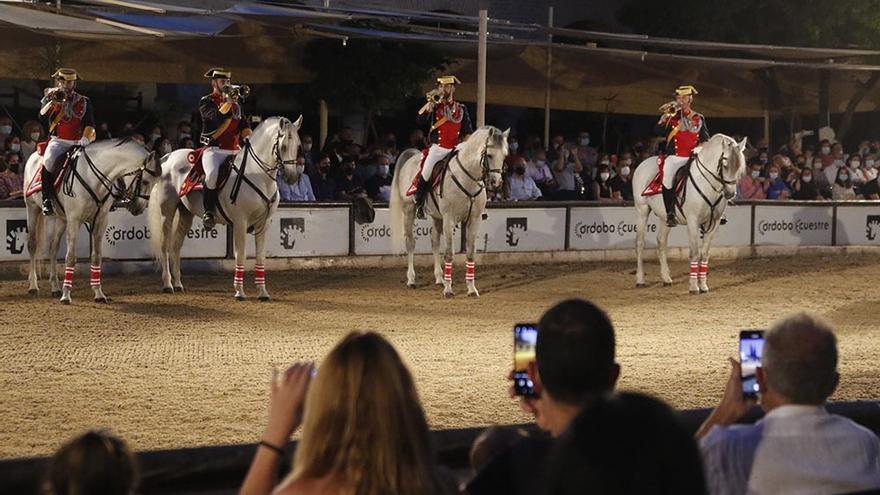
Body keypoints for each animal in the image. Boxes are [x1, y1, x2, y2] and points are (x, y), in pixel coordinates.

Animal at [24, 138, 161, 304]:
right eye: (146, 182)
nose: (139, 208)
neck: (93, 177)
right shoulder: (74, 220)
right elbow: (71, 257)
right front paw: (66, 295)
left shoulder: (100, 221)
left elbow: (96, 257)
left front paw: (98, 293)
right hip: (32, 208)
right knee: (32, 244)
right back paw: (33, 286)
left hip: (62, 219)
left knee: (53, 248)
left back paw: (55, 287)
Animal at [148, 116, 302, 302]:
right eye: (284, 146)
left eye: (298, 146)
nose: (292, 177)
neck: (257, 174)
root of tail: (168, 156)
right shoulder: (240, 222)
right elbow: (241, 255)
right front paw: (239, 292)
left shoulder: (263, 224)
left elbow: (260, 257)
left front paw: (263, 292)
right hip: (167, 210)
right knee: (164, 245)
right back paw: (168, 284)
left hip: (186, 213)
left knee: (176, 246)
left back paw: (178, 284)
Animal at [390, 127, 506, 298]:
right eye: (490, 155)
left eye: (504, 155)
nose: (496, 183)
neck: (467, 177)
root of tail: (412, 158)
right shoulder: (449, 219)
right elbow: (449, 253)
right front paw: (449, 290)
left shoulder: (474, 220)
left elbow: (470, 253)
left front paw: (471, 288)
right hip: (409, 210)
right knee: (410, 242)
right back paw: (411, 280)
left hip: (437, 217)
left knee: (434, 242)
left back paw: (440, 278)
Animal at [628, 134, 744, 292]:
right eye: (725, 164)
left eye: (739, 165)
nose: (730, 193)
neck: (707, 184)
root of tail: (643, 163)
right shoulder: (693, 221)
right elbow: (694, 253)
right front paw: (694, 287)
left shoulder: (713, 223)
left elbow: (705, 254)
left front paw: (703, 285)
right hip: (642, 210)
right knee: (639, 244)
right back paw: (640, 279)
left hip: (665, 217)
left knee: (661, 242)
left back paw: (666, 278)